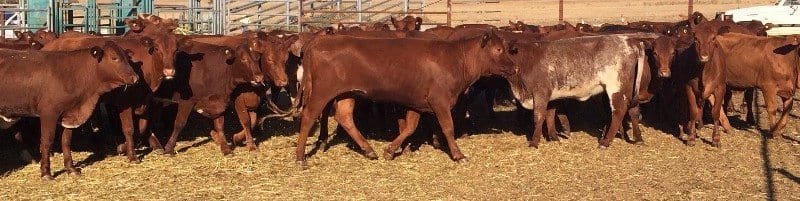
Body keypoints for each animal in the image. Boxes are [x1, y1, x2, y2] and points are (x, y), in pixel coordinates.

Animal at [0, 42, 138, 179]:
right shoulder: (49, 113)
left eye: (127, 58)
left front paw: (71, 168)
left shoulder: (69, 116)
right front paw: (46, 173)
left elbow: (66, 141)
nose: (135, 78)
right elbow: (46, 141)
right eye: (114, 57)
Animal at [296, 31, 520, 166]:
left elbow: (410, 127)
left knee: (345, 118)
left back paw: (369, 150)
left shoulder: (417, 103)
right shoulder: (439, 101)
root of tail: (319, 40)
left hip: (347, 94)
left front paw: (390, 150)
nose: (515, 67)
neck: (455, 59)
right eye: (498, 49)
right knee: (308, 117)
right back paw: (300, 157)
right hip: (322, 93)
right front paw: (458, 155)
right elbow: (448, 127)